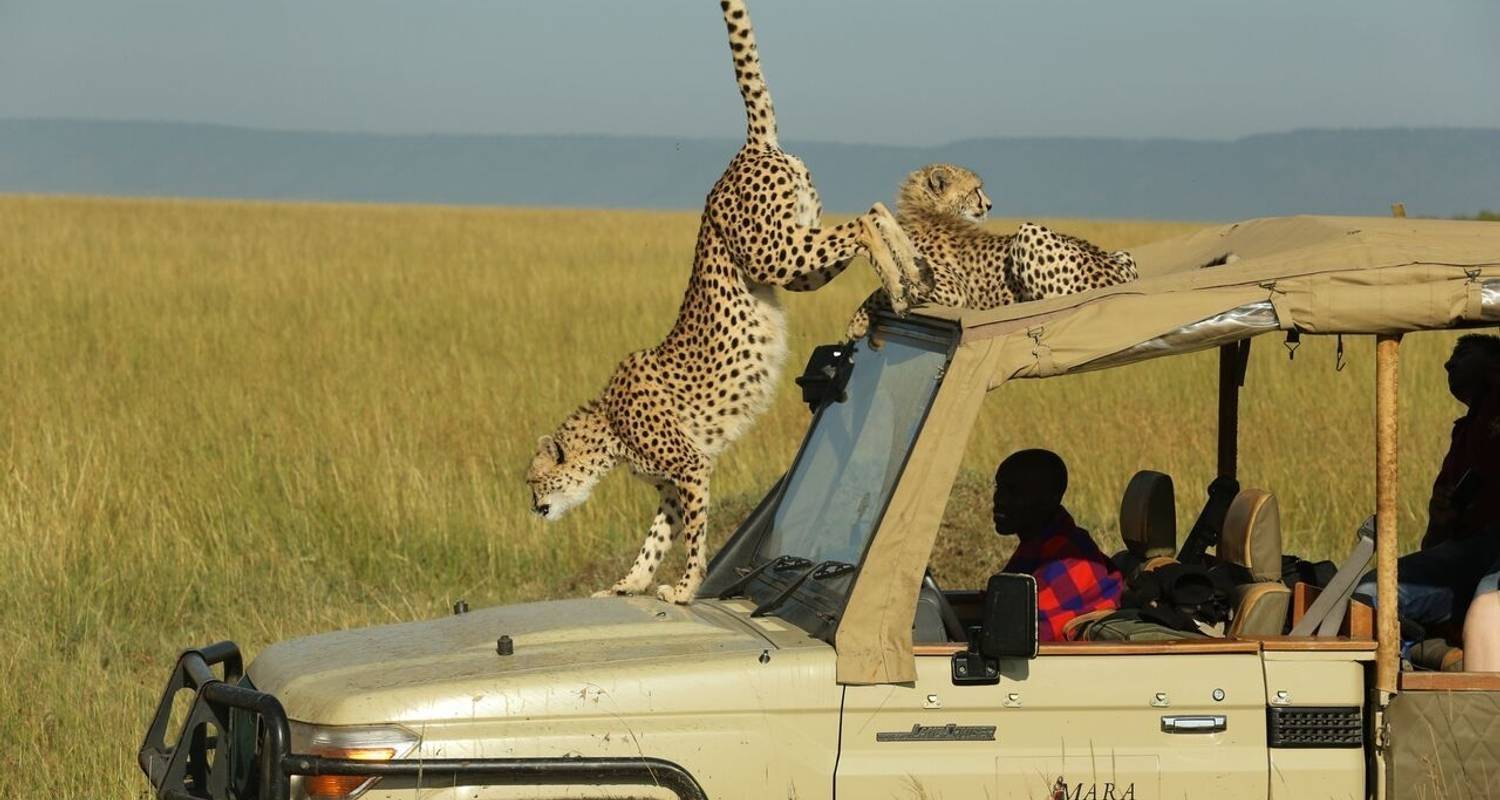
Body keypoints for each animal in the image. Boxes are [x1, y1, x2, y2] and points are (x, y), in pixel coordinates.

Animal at [528, 0, 924, 603]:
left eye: (533, 479)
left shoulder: (690, 466)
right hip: (798, 255)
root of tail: (748, 149)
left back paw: (901, 283)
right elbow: (656, 538)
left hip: (775, 255)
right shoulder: (673, 483)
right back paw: (912, 275)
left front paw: (686, 587)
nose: (533, 508)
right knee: (876, 209)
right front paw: (628, 585)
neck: (608, 430)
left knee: (864, 221)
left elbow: (694, 535)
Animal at [846, 162, 1134, 336]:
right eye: (975, 190)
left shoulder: (953, 292)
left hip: (1028, 232)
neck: (927, 212)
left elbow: (886, 288)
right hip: (1124, 255)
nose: (989, 205)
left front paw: (857, 321)